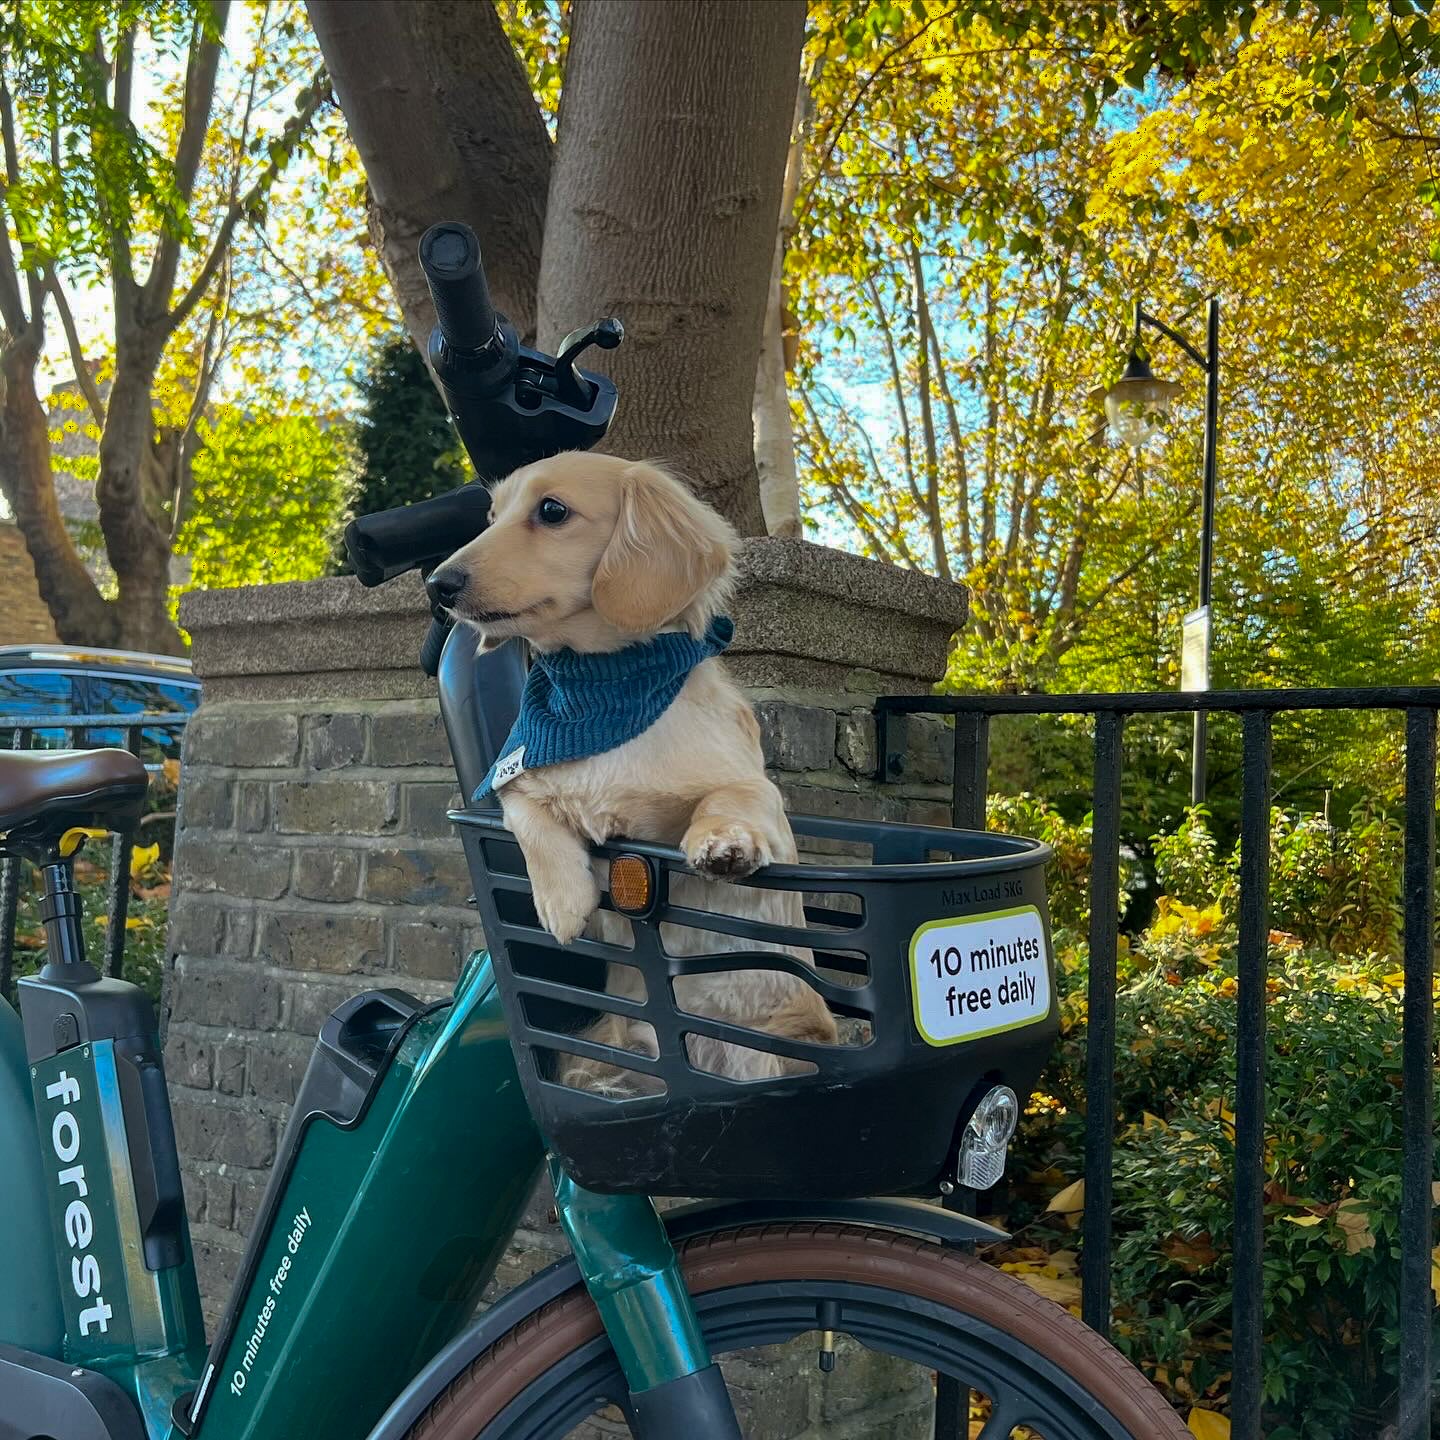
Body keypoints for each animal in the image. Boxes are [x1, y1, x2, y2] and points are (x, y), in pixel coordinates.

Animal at [432, 455, 840, 1094]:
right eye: (491, 516)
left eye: (552, 510)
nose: (438, 585)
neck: (604, 696)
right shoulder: (514, 783)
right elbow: (532, 824)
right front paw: (562, 902)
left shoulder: (758, 790)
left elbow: (725, 800)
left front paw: (721, 844)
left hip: (763, 1056)